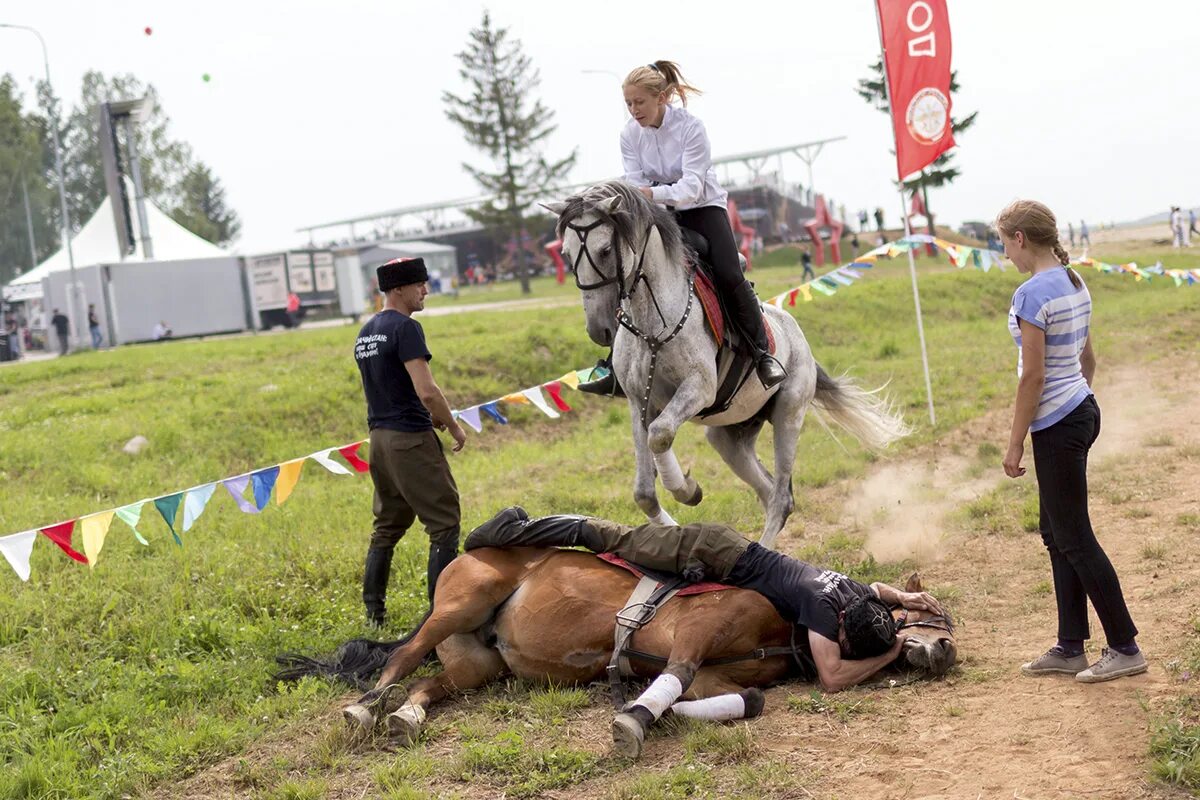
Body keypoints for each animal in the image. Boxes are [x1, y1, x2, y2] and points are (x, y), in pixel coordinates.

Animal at [278, 546, 955, 762]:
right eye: (931, 616)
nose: (947, 648)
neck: (786, 622)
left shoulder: (717, 675)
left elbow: (745, 698)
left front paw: (652, 709)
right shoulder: (694, 633)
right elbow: (675, 674)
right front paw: (632, 719)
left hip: (477, 664)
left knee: (428, 684)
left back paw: (407, 717)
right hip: (460, 606)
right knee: (399, 662)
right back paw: (365, 709)